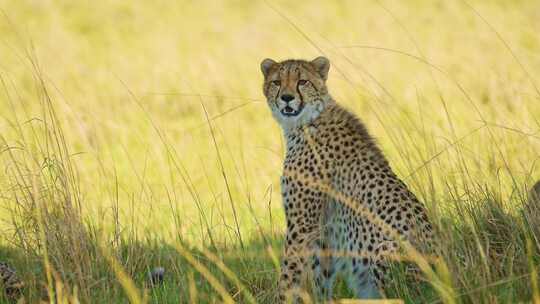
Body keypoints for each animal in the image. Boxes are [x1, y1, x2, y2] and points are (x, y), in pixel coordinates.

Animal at [260, 56, 436, 302]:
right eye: (276, 82)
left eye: (302, 81)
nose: (286, 97)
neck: (307, 122)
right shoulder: (324, 231)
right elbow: (320, 276)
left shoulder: (302, 226)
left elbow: (288, 275)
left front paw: (280, 298)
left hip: (387, 250)